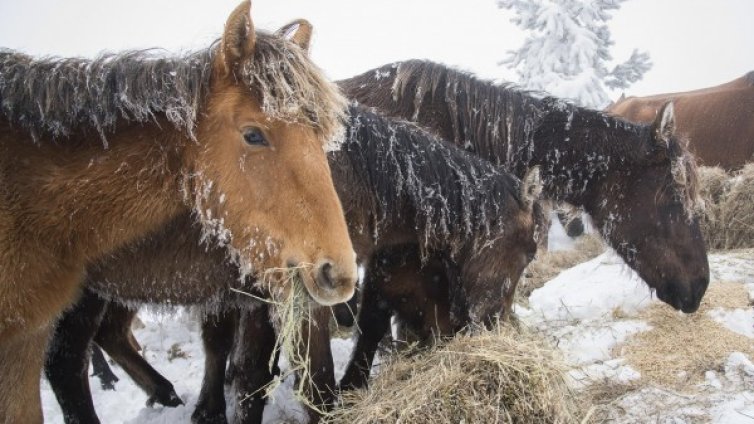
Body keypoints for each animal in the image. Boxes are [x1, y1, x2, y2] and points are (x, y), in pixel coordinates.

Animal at [0, 2, 358, 420]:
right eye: (253, 134)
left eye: (320, 135)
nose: (338, 273)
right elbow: (280, 377)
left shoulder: (25, 336)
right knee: (69, 361)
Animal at [48, 103, 540, 424]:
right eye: (529, 250)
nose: (493, 329)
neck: (343, 179)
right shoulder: (302, 292)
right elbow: (313, 378)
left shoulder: (259, 296)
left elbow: (251, 375)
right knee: (66, 367)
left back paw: (165, 394)